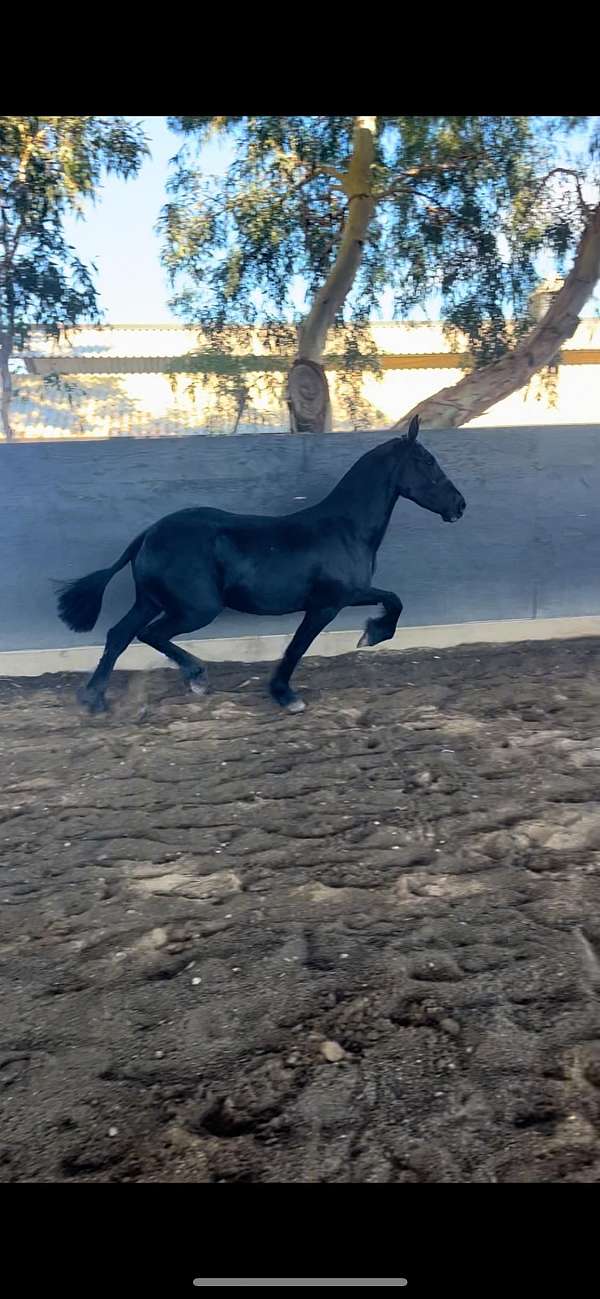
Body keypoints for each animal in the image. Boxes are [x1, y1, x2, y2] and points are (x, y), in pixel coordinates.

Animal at [56, 416, 466, 716]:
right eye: (427, 462)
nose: (459, 505)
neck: (345, 529)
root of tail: (148, 535)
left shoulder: (350, 594)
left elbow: (393, 600)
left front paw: (372, 634)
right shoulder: (327, 604)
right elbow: (297, 647)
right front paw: (286, 695)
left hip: (151, 601)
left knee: (119, 635)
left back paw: (94, 699)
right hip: (196, 609)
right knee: (150, 634)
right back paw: (196, 676)